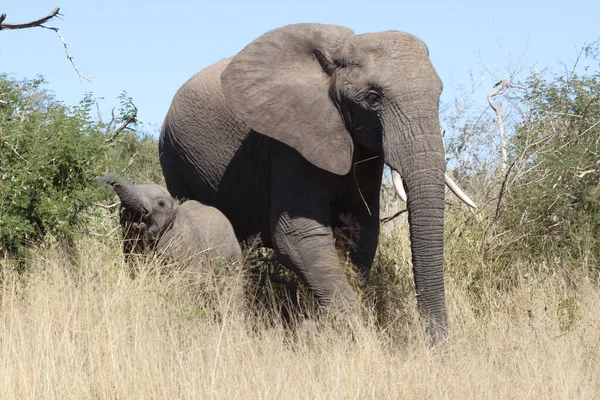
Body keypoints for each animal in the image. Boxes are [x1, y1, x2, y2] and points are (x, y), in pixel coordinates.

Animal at [158, 23, 474, 340]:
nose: (436, 346)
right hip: (175, 157)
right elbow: (297, 234)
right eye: (373, 98)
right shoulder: (288, 139)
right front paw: (347, 334)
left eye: (438, 96)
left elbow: (360, 231)